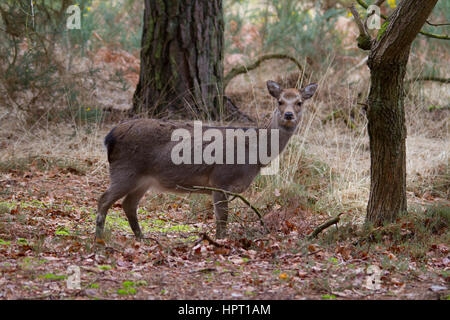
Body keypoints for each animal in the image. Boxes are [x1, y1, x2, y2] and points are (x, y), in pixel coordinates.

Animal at [96, 80, 318, 240]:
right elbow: (222, 219)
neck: (254, 156)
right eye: (280, 101)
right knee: (104, 199)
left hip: (143, 179)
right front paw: (220, 242)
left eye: (299, 102)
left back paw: (141, 237)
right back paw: (99, 237)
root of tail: (110, 136)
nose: (288, 114)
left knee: (128, 205)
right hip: (125, 171)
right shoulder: (221, 180)